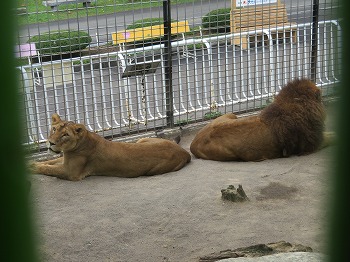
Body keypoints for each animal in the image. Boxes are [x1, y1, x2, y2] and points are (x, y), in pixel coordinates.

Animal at [31, 113, 191, 181]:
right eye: (54, 129)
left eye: (65, 135)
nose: (51, 143)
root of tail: (184, 152)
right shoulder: (65, 160)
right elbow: (49, 162)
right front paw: (31, 162)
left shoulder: (71, 172)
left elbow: (48, 168)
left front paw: (32, 167)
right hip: (141, 140)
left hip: (152, 171)